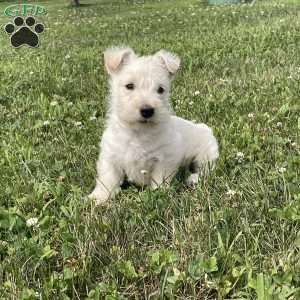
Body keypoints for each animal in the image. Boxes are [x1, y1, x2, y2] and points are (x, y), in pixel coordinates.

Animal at [88, 47, 218, 205]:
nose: (147, 110)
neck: (138, 132)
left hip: (207, 154)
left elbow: (159, 179)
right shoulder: (110, 155)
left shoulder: (165, 159)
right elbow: (108, 178)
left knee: (205, 170)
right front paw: (99, 197)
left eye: (160, 89)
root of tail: (204, 127)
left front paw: (158, 195)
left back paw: (193, 179)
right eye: (129, 86)